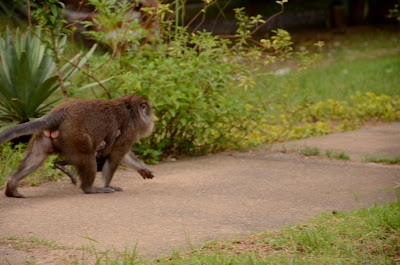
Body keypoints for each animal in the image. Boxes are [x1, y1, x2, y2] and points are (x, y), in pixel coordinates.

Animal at [0, 93, 155, 196]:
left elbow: (122, 154)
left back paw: (12, 185)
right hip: (74, 137)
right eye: (148, 109)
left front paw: (142, 168)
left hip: (46, 136)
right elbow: (116, 155)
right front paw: (106, 184)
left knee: (36, 156)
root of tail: (56, 114)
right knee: (88, 156)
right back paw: (90, 189)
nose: (153, 118)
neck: (130, 108)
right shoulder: (131, 128)